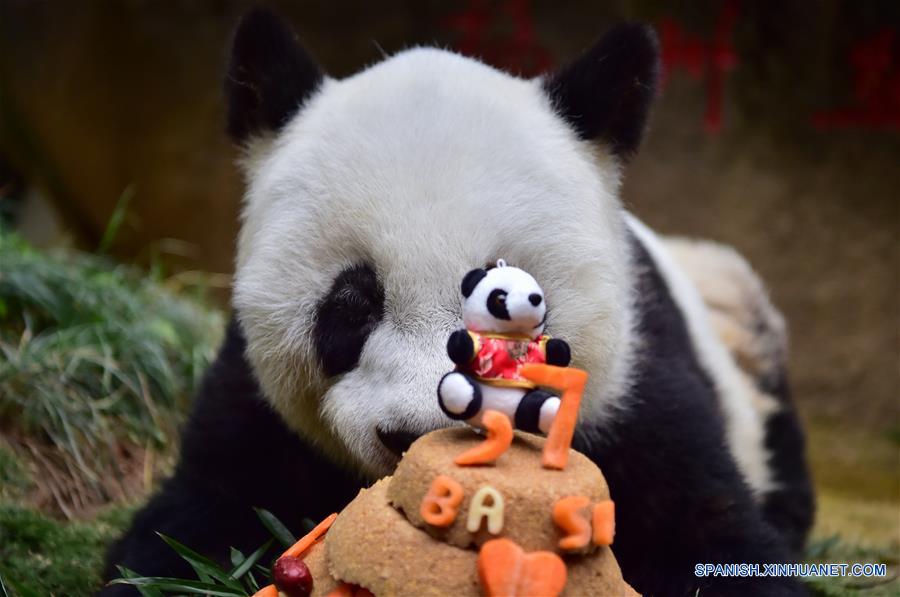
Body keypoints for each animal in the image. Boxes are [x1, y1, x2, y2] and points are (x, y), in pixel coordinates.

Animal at [102, 9, 812, 596]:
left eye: (521, 301)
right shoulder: (252, 404)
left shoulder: (634, 388)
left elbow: (711, 534)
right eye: (351, 306)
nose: (419, 433)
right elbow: (187, 528)